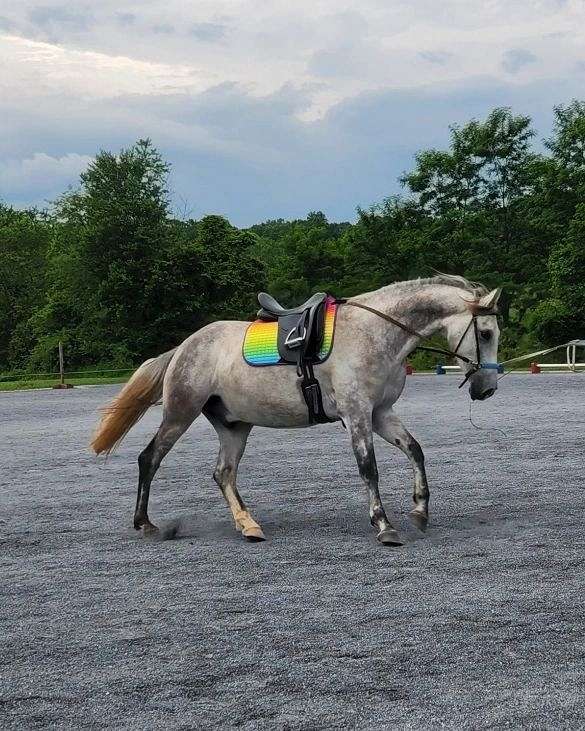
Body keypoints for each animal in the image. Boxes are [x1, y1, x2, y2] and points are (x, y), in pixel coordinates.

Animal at [92, 278, 502, 548]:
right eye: (484, 333)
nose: (487, 388)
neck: (375, 333)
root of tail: (183, 347)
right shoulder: (357, 415)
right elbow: (369, 469)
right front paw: (384, 525)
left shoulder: (380, 413)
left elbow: (415, 451)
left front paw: (420, 511)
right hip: (180, 413)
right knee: (150, 459)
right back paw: (146, 524)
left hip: (234, 425)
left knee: (223, 473)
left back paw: (248, 525)